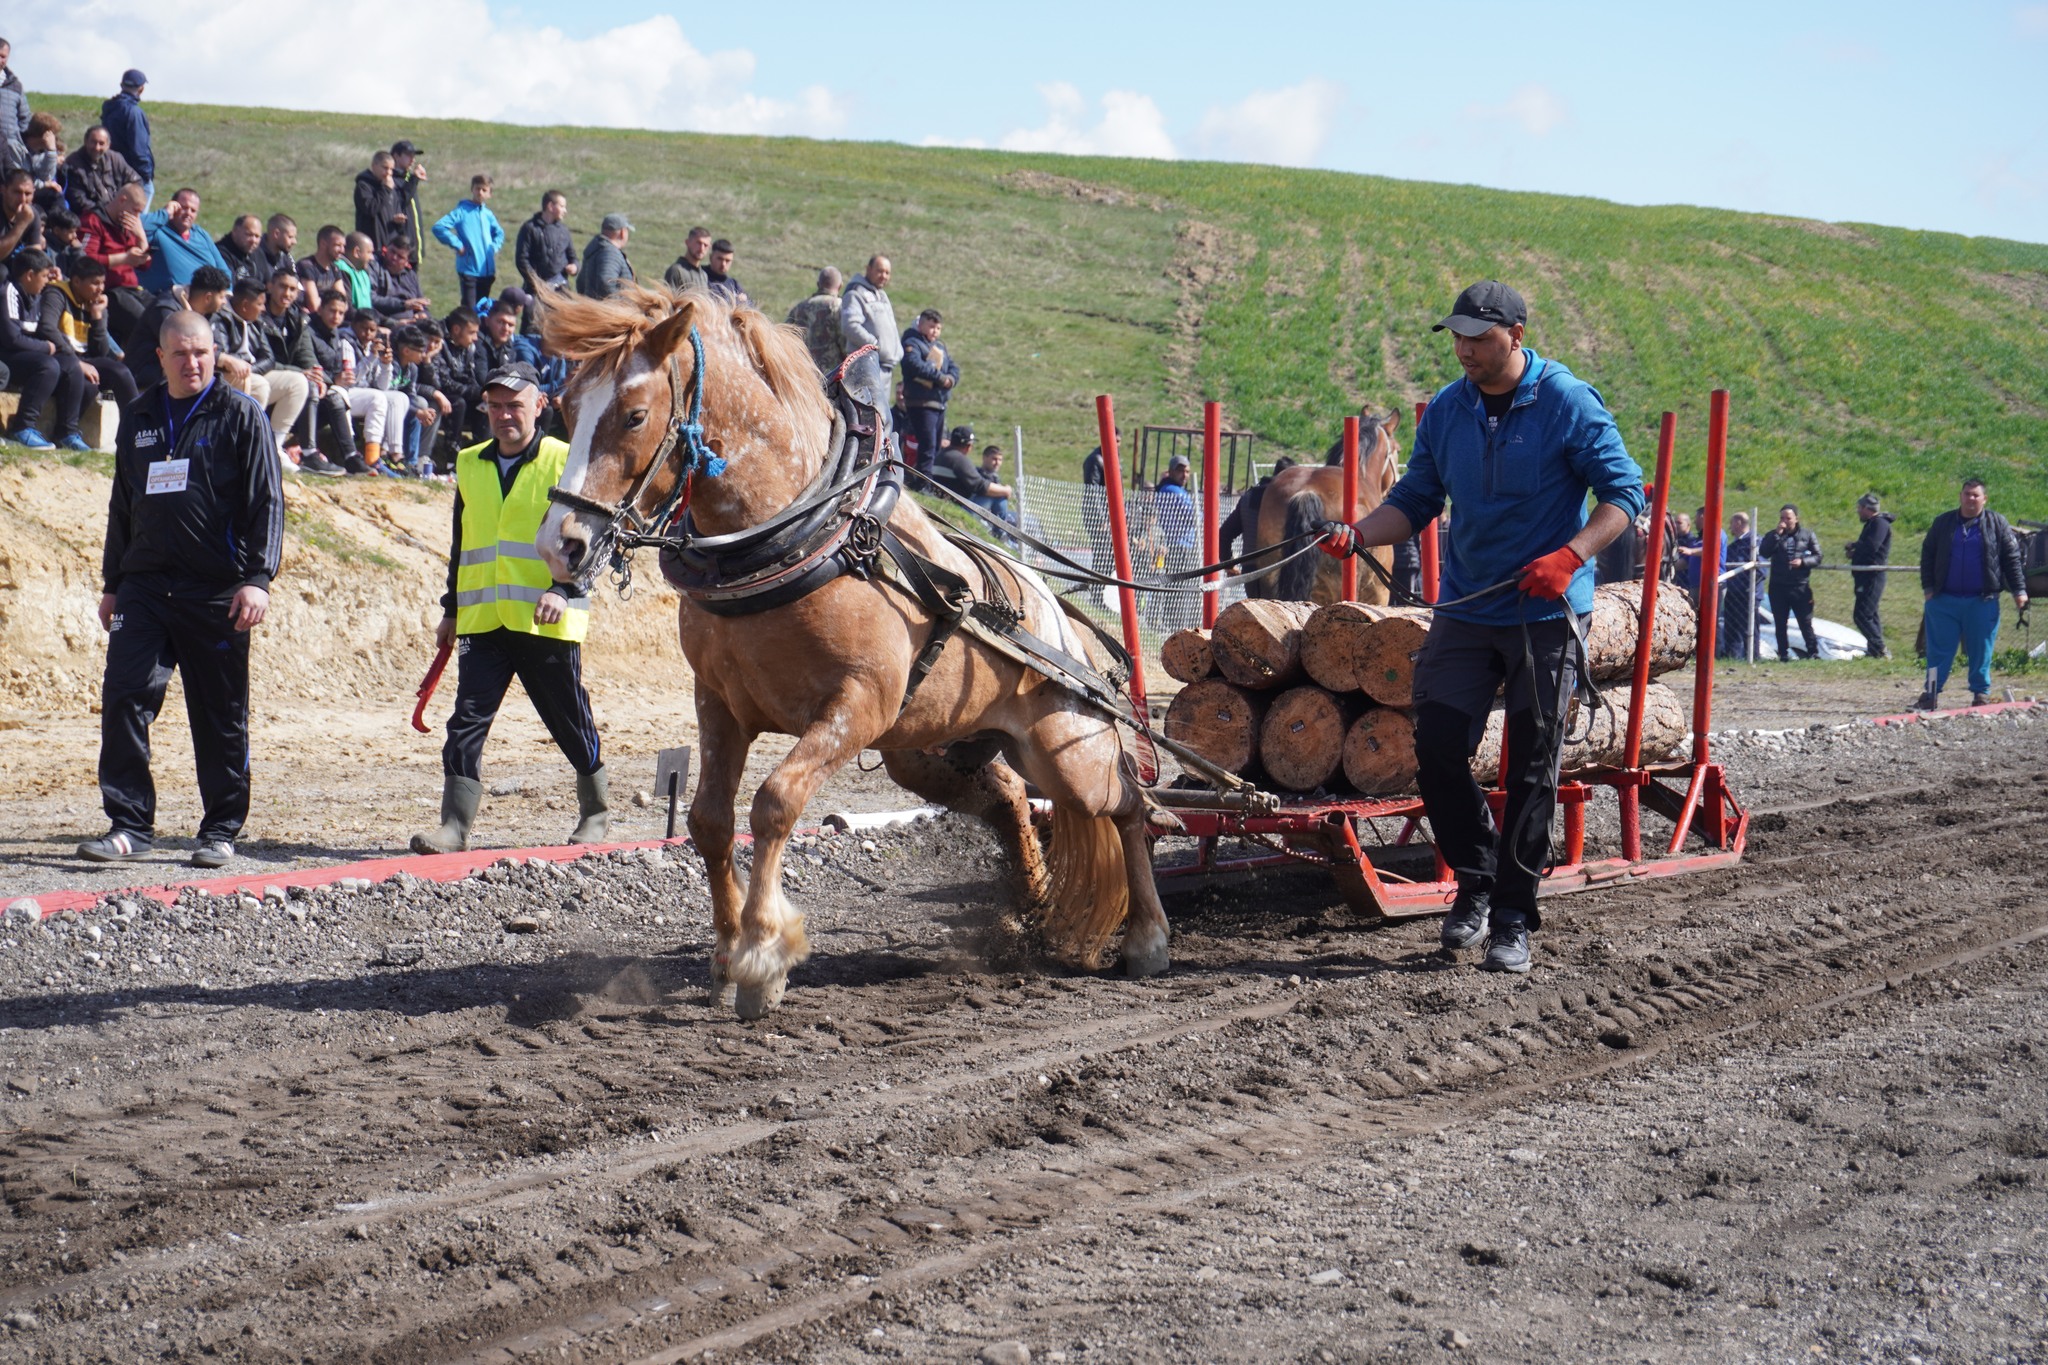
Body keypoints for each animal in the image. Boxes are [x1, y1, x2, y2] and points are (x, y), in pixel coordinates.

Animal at [528, 286, 1171, 1015]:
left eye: (635, 414)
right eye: (564, 408)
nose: (560, 542)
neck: (802, 532)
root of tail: (1065, 624)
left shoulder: (855, 705)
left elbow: (774, 802)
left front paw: (762, 955)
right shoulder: (719, 702)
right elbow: (709, 820)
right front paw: (725, 952)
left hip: (1067, 753)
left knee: (1130, 807)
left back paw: (1147, 938)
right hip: (929, 755)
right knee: (1010, 799)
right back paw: (1026, 912)